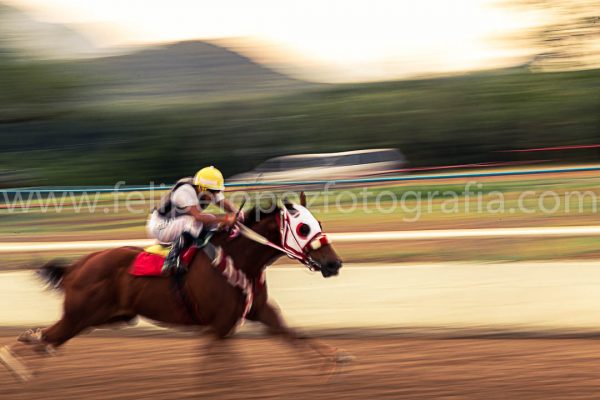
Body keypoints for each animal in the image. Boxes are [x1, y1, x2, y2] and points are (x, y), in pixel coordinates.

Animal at [1, 195, 346, 380]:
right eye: (303, 228)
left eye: (319, 225)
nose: (334, 263)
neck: (239, 258)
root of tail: (77, 266)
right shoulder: (218, 326)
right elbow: (213, 368)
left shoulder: (257, 312)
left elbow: (291, 334)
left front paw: (334, 361)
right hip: (80, 315)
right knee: (45, 337)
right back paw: (18, 365)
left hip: (101, 317)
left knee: (45, 339)